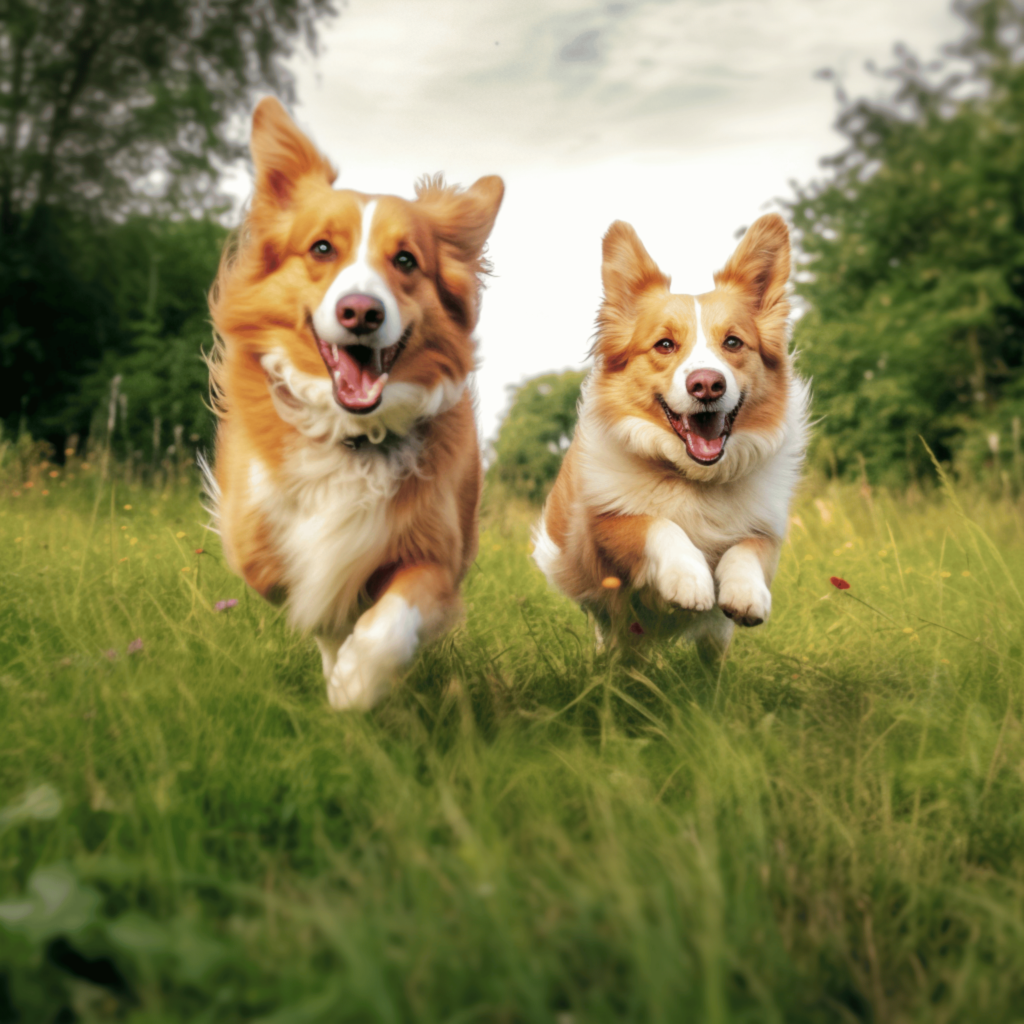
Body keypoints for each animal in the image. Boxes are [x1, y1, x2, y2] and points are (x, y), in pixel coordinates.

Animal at [206, 97, 503, 712]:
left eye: (406, 260)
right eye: (322, 248)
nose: (361, 311)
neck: (352, 433)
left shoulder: (436, 553)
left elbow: (390, 619)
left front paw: (357, 682)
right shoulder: (261, 544)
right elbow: (317, 600)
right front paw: (339, 668)